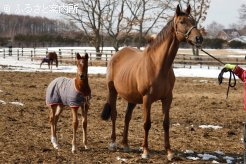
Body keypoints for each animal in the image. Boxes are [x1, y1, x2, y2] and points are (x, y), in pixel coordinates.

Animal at [101, 5, 203, 160]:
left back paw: (125, 144)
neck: (158, 65)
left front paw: (169, 151)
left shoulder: (167, 98)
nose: (199, 38)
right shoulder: (147, 98)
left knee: (127, 118)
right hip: (112, 91)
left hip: (132, 98)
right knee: (114, 114)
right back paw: (113, 143)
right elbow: (146, 124)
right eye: (182, 21)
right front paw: (145, 151)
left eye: (193, 20)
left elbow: (166, 123)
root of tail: (117, 55)